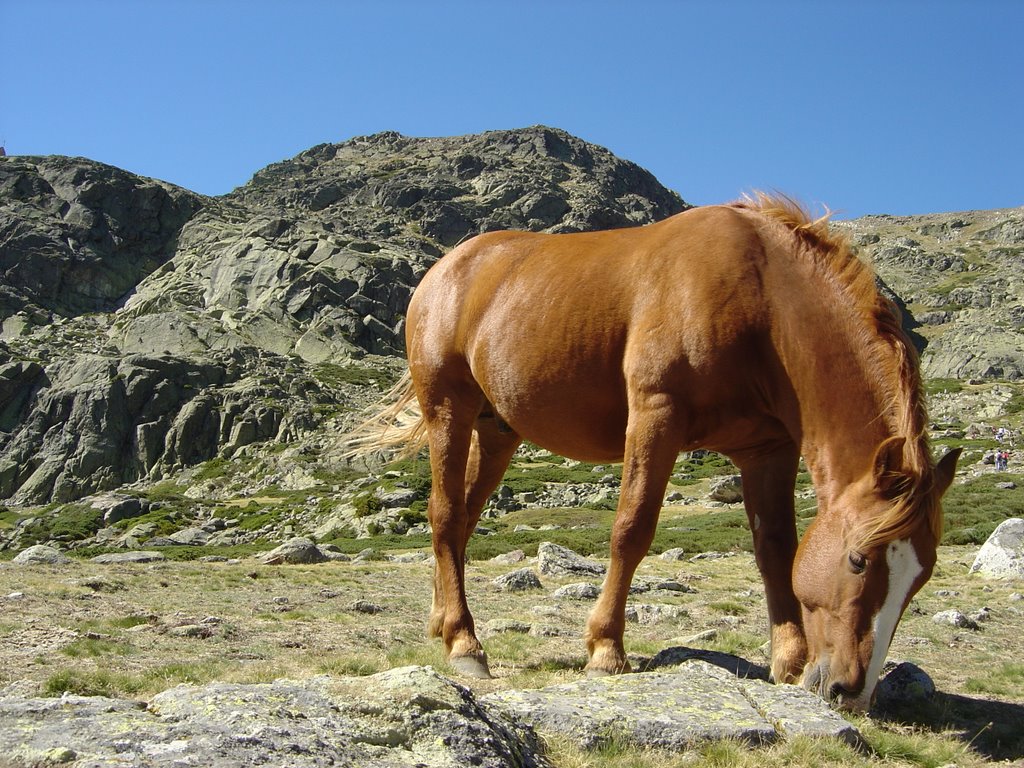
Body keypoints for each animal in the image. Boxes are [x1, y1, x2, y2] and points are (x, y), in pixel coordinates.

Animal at [350, 193, 958, 716]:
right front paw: (605, 649)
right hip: (448, 411)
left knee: (462, 523)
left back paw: (442, 623)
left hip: (498, 431)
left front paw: (788, 660)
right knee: (445, 514)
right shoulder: (655, 416)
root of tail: (444, 269)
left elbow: (776, 549)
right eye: (858, 559)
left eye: (921, 577)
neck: (759, 299)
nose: (850, 692)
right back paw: (465, 643)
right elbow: (632, 529)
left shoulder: (767, 451)